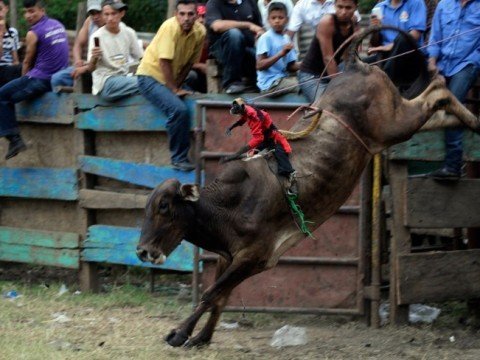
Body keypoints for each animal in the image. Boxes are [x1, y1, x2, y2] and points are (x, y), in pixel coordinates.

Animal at [135, 26, 480, 348]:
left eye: (164, 207)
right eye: (146, 209)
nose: (142, 251)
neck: (227, 206)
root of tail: (354, 64)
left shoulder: (253, 256)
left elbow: (211, 294)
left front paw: (179, 333)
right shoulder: (228, 257)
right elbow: (221, 296)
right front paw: (202, 336)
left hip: (393, 123)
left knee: (436, 92)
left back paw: (469, 116)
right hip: (392, 128)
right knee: (438, 112)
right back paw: (472, 120)